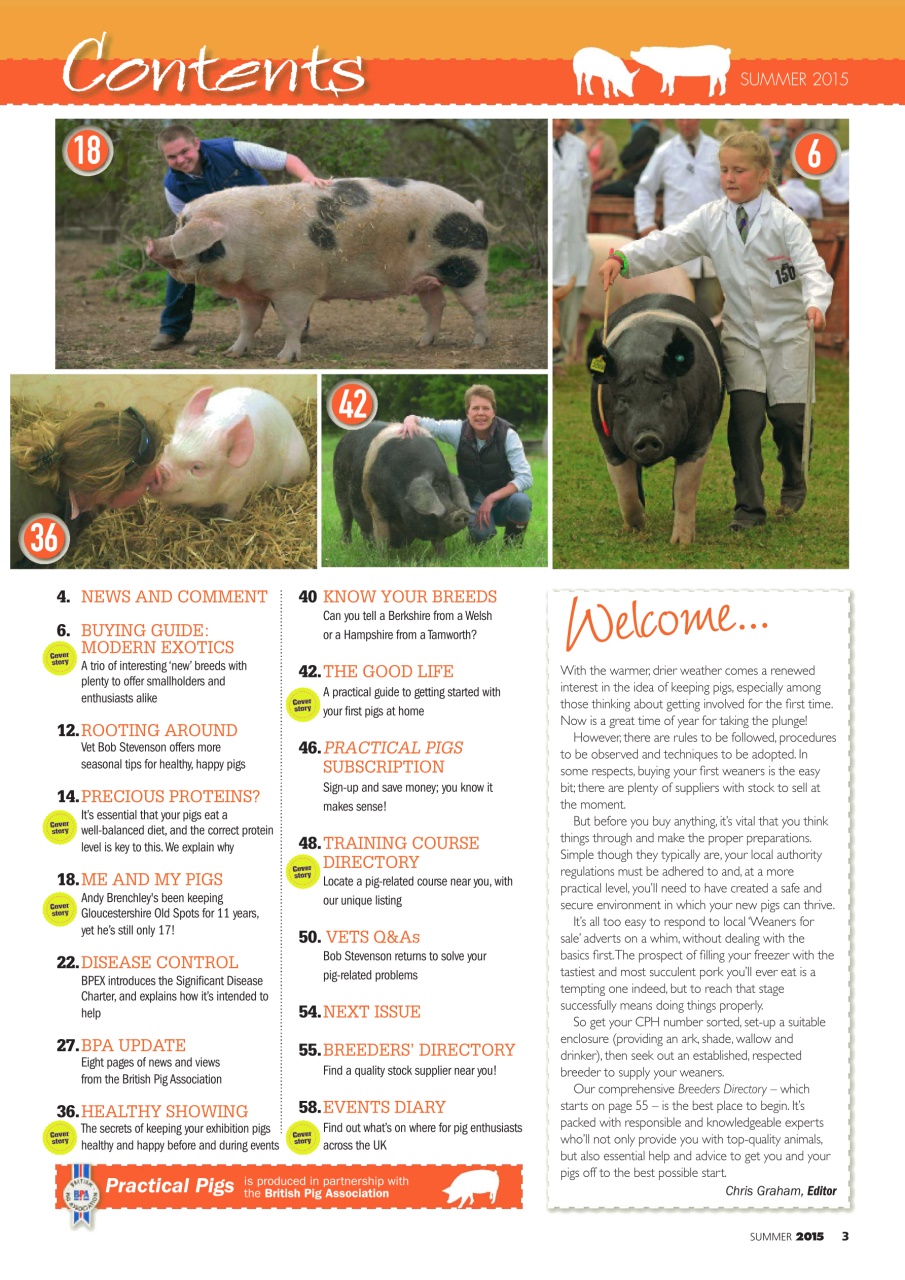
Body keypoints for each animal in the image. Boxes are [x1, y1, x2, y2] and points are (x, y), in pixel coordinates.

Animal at [146, 179, 491, 362]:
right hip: (427, 279)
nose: (151, 244)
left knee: (478, 307)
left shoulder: (294, 288)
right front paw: (233, 353)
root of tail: (476, 211)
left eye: (184, 224)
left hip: (468, 267)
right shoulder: (251, 292)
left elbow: (292, 324)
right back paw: (421, 343)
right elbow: (248, 324)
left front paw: (283, 359)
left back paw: (477, 344)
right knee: (436, 305)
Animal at [333, 422, 471, 556]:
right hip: (339, 486)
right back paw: (346, 545)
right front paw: (381, 559)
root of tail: (344, 437)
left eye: (448, 491)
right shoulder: (376, 507)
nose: (460, 513)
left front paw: (442, 558)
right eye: (435, 490)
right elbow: (383, 539)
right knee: (346, 519)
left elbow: (438, 542)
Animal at [587, 293, 724, 544]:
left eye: (665, 395)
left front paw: (681, 543)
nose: (647, 436)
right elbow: (625, 490)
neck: (642, 356)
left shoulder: (700, 437)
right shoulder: (607, 441)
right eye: (622, 400)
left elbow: (685, 490)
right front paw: (635, 528)